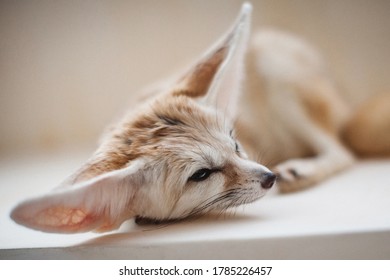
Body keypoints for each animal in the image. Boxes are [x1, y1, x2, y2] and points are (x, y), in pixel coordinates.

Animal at [10, 3, 388, 233]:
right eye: (202, 174)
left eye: (235, 144)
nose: (269, 177)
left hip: (275, 68)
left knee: (343, 151)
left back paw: (305, 168)